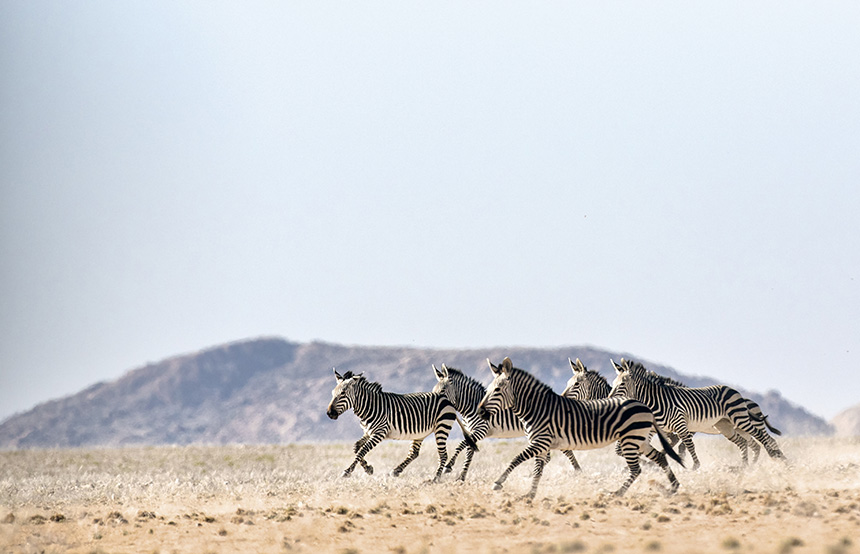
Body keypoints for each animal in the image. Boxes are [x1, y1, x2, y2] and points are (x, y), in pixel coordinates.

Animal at [328, 366, 480, 478]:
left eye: (342, 394)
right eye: (332, 393)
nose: (330, 413)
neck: (370, 407)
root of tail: (447, 400)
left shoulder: (379, 433)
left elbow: (362, 451)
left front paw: (348, 471)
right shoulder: (368, 432)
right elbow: (356, 448)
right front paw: (368, 468)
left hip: (442, 427)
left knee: (443, 455)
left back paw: (435, 479)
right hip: (420, 433)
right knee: (414, 453)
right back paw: (396, 471)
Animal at [434, 362, 580, 478]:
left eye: (443, 390)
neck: (471, 405)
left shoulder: (481, 430)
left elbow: (461, 445)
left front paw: (449, 466)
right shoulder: (471, 432)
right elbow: (469, 452)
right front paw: (461, 478)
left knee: (565, 451)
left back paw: (578, 470)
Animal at [474, 356, 680, 498]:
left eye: (497, 390)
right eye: (489, 389)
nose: (480, 412)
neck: (537, 408)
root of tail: (644, 405)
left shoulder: (540, 442)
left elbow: (516, 459)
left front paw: (498, 483)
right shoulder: (542, 445)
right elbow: (538, 470)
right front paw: (530, 495)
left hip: (631, 440)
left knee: (636, 469)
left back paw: (617, 493)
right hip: (640, 439)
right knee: (660, 457)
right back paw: (673, 487)